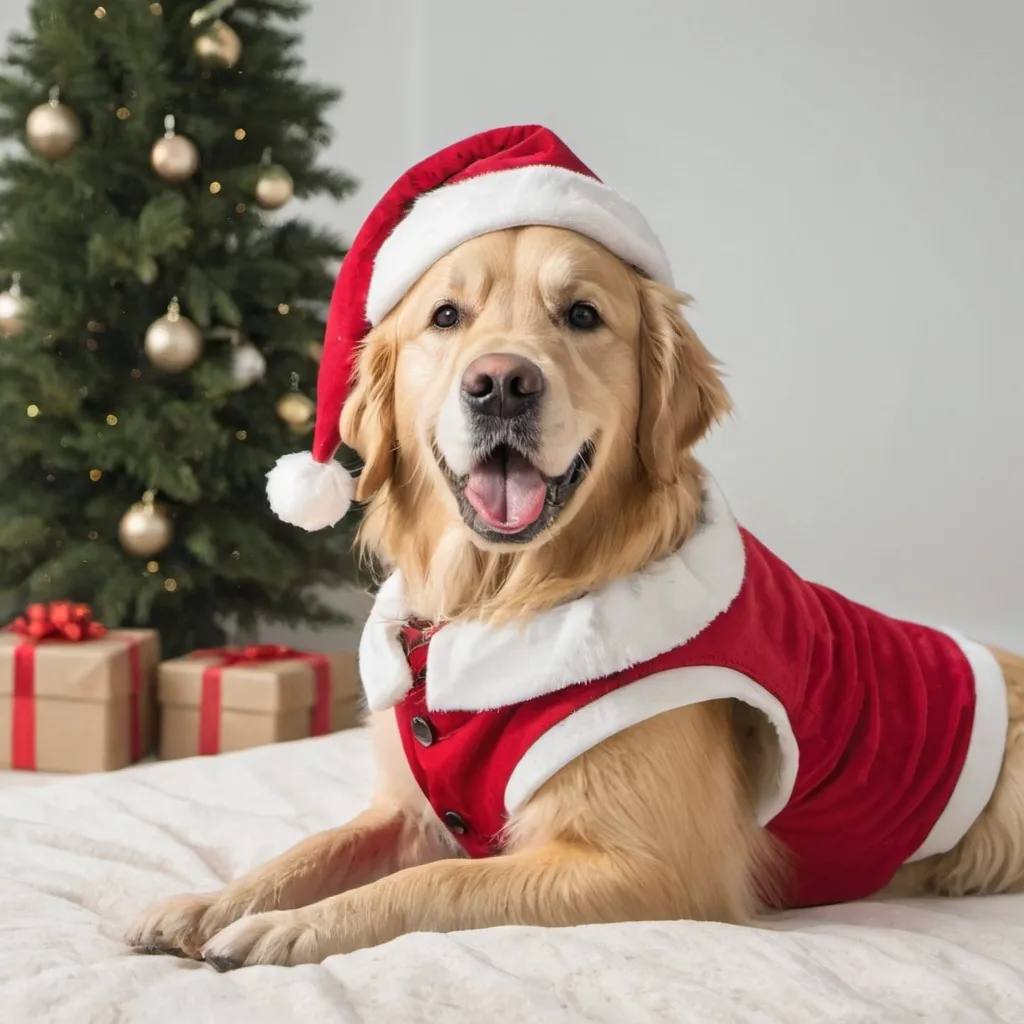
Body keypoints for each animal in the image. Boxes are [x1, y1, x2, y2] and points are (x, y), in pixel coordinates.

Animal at [123, 128, 1019, 966]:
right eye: (445, 316)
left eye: (582, 315)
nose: (501, 385)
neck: (501, 597)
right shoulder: (410, 813)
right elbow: (310, 848)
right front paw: (211, 904)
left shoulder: (656, 866)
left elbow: (434, 883)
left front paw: (288, 929)